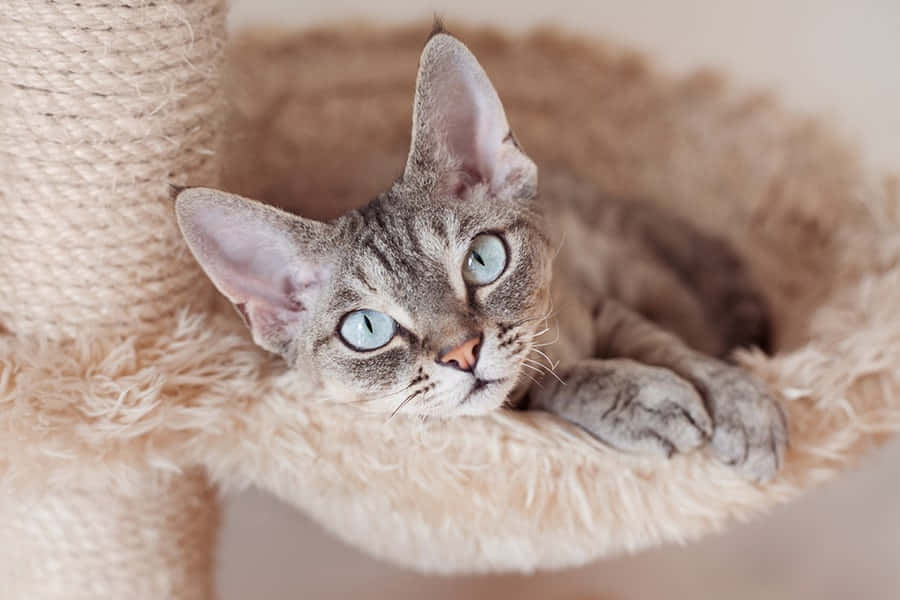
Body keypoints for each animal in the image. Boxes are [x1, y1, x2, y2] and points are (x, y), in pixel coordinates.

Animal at [174, 25, 788, 482]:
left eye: (483, 260)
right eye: (368, 329)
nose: (463, 353)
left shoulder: (598, 301)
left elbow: (671, 347)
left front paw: (739, 402)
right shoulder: (520, 399)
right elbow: (554, 383)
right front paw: (638, 399)